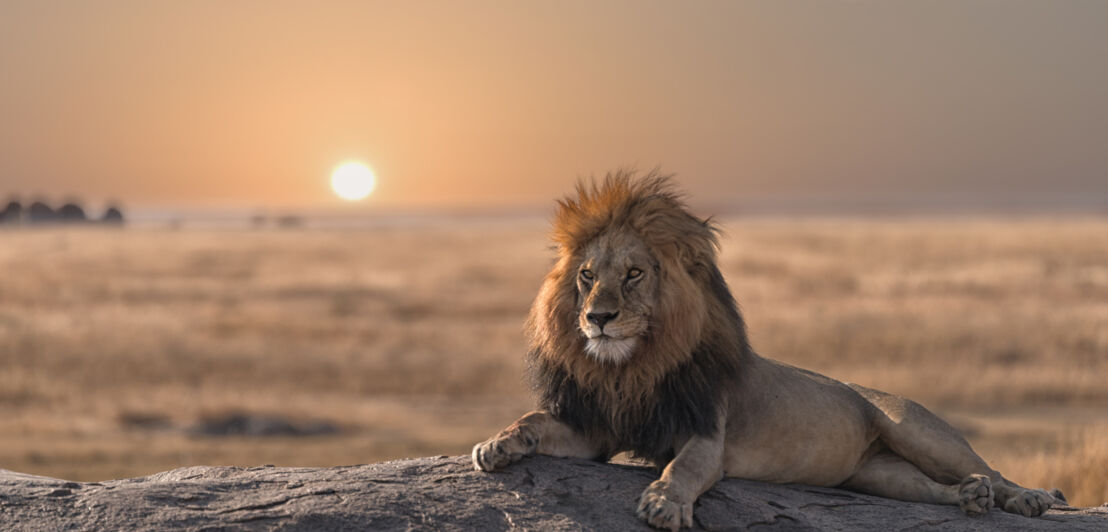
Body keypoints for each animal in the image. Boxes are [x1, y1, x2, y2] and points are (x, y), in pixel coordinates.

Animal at [467, 172, 1054, 529]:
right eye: (587, 276)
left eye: (633, 274)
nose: (598, 318)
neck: (633, 367)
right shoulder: (598, 429)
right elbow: (535, 420)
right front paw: (497, 444)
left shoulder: (707, 434)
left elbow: (681, 468)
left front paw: (663, 503)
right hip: (877, 474)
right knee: (933, 489)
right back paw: (970, 499)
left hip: (917, 430)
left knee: (989, 470)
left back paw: (1027, 497)